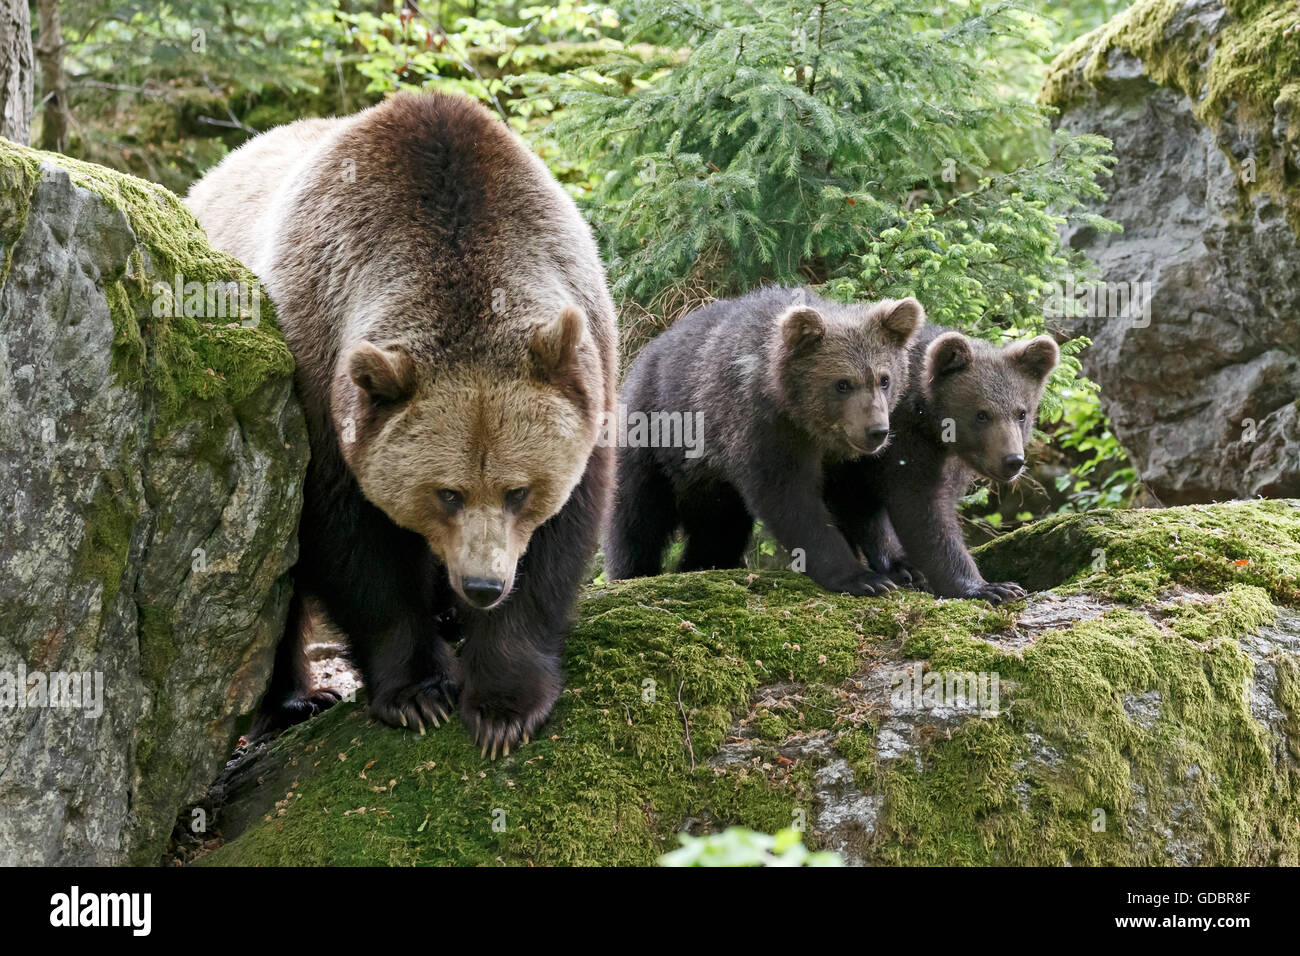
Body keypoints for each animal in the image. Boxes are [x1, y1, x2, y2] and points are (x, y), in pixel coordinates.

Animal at [185, 93, 621, 759]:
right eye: (447, 493)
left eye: (518, 491)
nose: (483, 585)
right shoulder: (321, 388)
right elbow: (353, 546)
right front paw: (418, 693)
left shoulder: (585, 371)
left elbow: (558, 539)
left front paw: (503, 706)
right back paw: (294, 699)